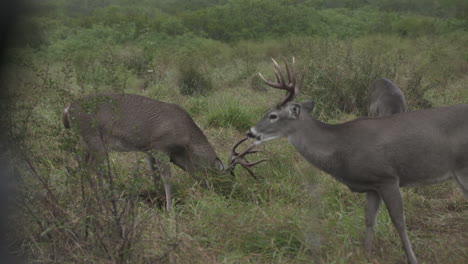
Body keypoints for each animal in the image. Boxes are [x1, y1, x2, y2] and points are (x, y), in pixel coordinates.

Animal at [62, 93, 266, 210]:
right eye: (226, 178)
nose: (232, 194)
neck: (185, 141)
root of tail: (67, 108)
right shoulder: (160, 147)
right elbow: (167, 178)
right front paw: (169, 208)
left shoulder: (149, 150)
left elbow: (154, 176)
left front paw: (156, 199)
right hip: (95, 140)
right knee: (92, 169)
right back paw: (104, 200)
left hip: (86, 144)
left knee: (81, 167)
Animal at [247, 57, 466, 264]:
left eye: (272, 115)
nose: (250, 132)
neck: (341, 148)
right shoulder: (372, 185)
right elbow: (369, 219)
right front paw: (366, 254)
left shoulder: (387, 177)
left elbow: (399, 221)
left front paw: (412, 259)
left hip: (462, 168)